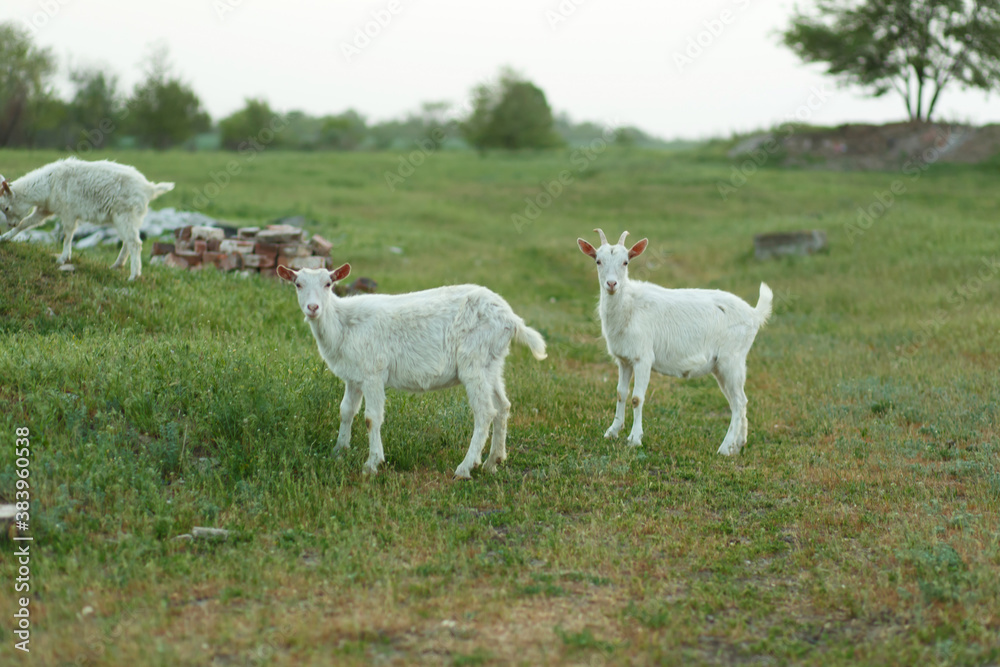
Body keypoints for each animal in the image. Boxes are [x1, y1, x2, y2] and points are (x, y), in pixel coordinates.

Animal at [0, 158, 174, 280]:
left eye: (6, 208)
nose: (10, 224)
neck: (50, 183)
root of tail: (149, 188)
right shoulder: (46, 209)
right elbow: (26, 224)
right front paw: (4, 238)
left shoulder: (69, 213)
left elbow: (68, 234)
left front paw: (63, 258)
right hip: (129, 219)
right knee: (128, 242)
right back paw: (117, 266)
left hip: (125, 216)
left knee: (135, 243)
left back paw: (133, 276)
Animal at [277, 263, 547, 478]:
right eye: (298, 284)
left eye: (328, 283)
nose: (313, 307)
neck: (344, 324)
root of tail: (511, 318)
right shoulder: (354, 377)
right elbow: (346, 411)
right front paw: (339, 450)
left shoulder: (373, 373)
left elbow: (371, 418)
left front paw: (372, 464)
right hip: (492, 362)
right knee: (503, 406)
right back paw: (493, 462)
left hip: (474, 360)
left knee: (485, 412)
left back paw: (465, 468)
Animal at [577, 229, 772, 455]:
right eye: (598, 261)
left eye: (626, 262)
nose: (611, 284)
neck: (629, 306)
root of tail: (754, 314)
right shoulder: (624, 360)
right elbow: (620, 393)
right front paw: (612, 431)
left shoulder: (643, 357)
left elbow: (637, 398)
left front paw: (634, 439)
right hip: (722, 366)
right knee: (738, 401)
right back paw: (738, 444)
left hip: (731, 359)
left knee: (739, 402)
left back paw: (724, 448)